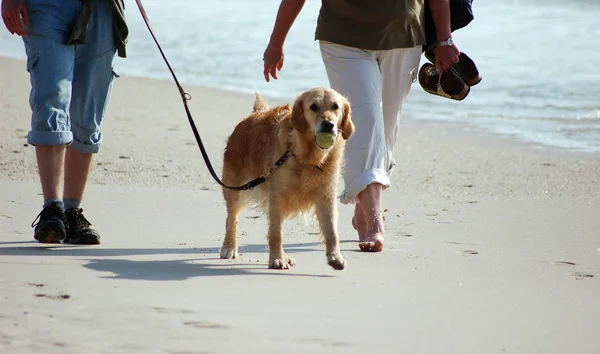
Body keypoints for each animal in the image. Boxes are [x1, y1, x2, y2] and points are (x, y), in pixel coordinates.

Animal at [219, 87, 352, 270]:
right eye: (313, 107)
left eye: (335, 107)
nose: (328, 124)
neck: (309, 158)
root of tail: (253, 115)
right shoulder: (277, 197)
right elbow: (276, 234)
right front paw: (276, 259)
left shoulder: (326, 196)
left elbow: (332, 231)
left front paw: (335, 257)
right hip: (235, 188)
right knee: (231, 219)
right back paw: (229, 247)